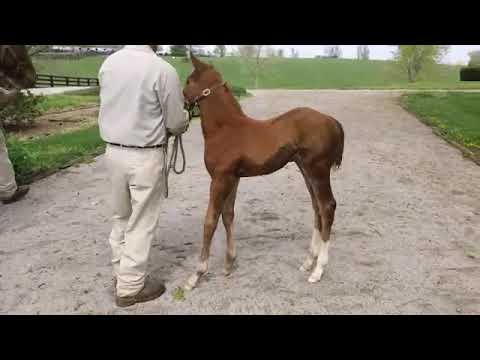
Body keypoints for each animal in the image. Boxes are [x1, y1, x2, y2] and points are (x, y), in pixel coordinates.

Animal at [182, 54, 344, 290]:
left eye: (188, 81)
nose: (183, 101)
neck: (225, 129)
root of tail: (332, 121)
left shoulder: (220, 179)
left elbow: (210, 220)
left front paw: (196, 274)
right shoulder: (232, 178)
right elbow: (228, 216)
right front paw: (229, 264)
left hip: (318, 170)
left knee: (327, 207)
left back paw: (318, 270)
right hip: (306, 171)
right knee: (317, 208)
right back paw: (308, 262)